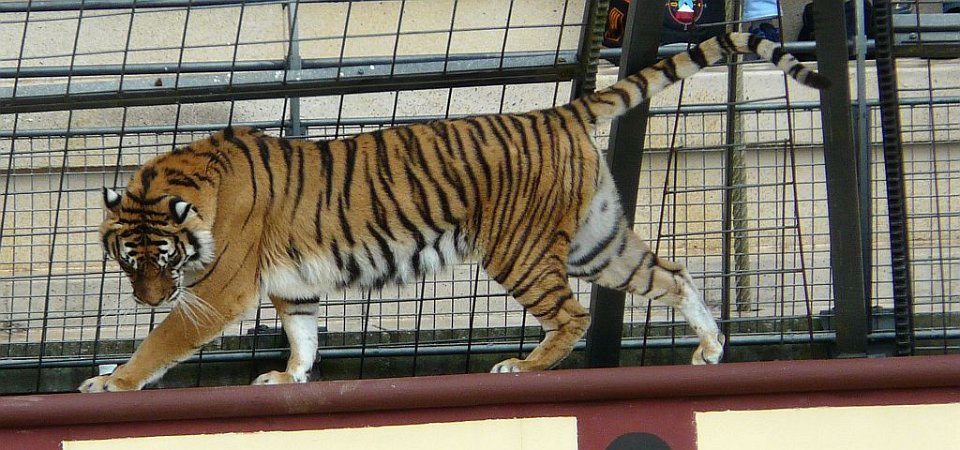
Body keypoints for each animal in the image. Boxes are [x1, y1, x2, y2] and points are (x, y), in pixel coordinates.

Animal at [79, 32, 827, 392]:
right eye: (128, 260)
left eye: (163, 258)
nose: (147, 298)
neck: (182, 184)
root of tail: (555, 112)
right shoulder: (293, 287)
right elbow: (304, 335)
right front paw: (288, 376)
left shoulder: (220, 289)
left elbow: (163, 343)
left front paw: (113, 381)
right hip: (600, 241)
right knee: (671, 274)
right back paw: (711, 346)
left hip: (520, 251)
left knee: (573, 314)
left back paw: (523, 369)